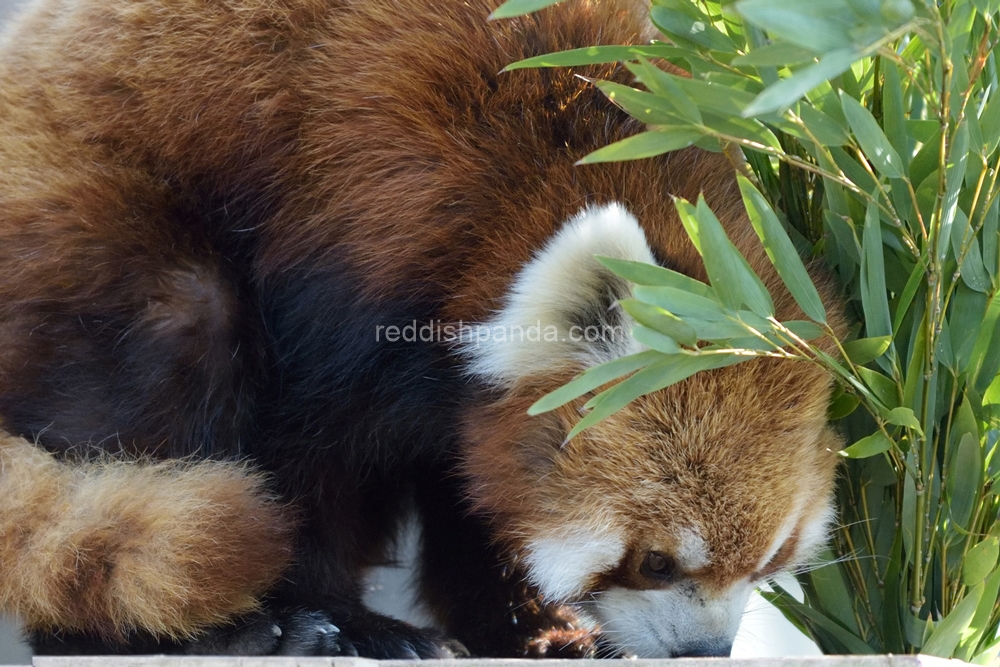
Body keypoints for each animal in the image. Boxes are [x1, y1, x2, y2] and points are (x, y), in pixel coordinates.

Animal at [0, 0, 848, 660]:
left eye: (771, 559)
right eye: (657, 561)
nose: (704, 649)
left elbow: (471, 488)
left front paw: (532, 628)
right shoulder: (352, 240)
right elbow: (304, 462)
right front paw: (349, 618)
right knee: (182, 321)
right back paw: (197, 630)